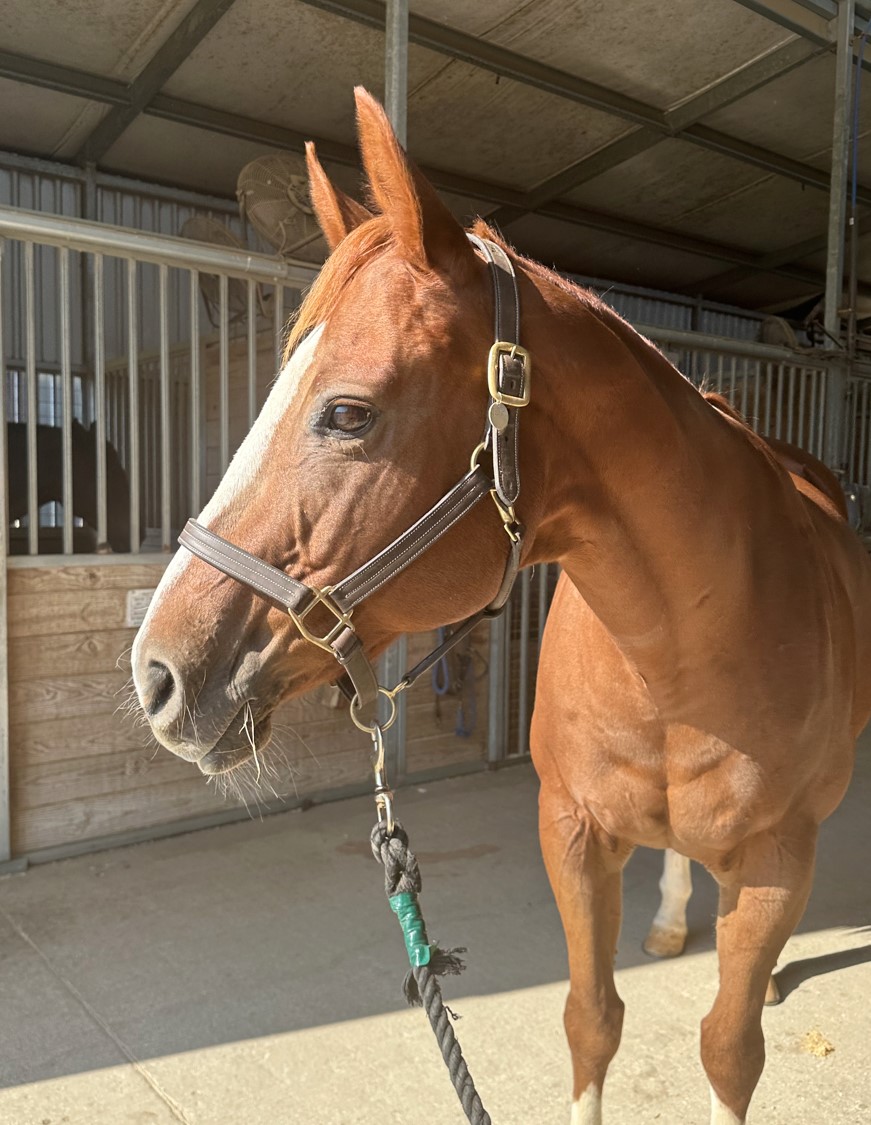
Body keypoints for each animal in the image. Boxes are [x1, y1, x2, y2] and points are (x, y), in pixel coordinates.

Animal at [132, 90, 871, 1125]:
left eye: (348, 413)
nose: (156, 673)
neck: (677, 648)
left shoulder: (773, 860)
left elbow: (728, 1050)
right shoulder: (571, 831)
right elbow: (590, 1020)